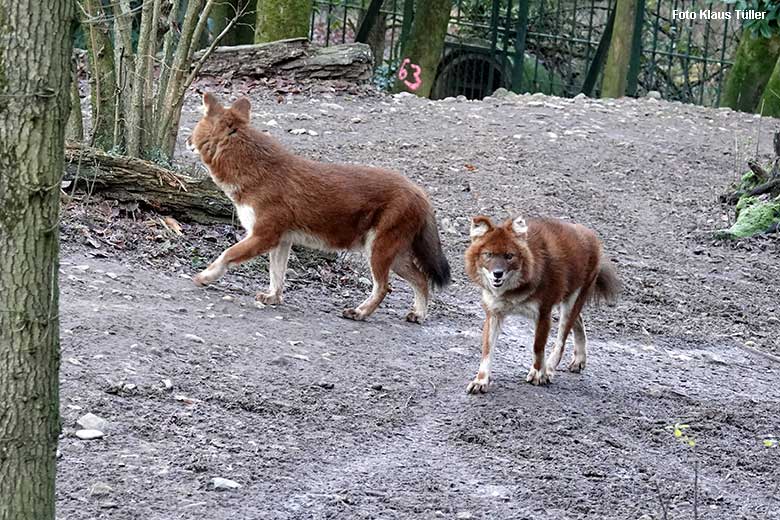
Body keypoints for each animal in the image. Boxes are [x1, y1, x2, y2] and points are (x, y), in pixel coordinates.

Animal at [184, 92, 450, 322]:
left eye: (193, 128)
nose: (186, 140)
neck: (255, 170)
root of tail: (420, 192)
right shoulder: (282, 240)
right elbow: (276, 274)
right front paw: (273, 298)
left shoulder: (263, 236)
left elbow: (227, 254)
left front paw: (206, 276)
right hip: (393, 255)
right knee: (421, 279)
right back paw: (418, 314)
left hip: (378, 251)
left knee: (384, 287)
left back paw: (359, 313)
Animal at [464, 213, 620, 392]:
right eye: (488, 254)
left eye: (509, 256)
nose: (497, 273)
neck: (513, 291)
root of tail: (590, 234)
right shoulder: (494, 313)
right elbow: (487, 350)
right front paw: (480, 381)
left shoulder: (543, 312)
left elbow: (537, 347)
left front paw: (538, 373)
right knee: (579, 321)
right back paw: (579, 360)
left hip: (572, 301)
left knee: (561, 341)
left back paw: (549, 369)